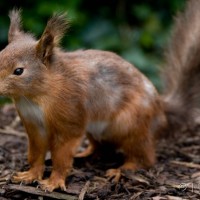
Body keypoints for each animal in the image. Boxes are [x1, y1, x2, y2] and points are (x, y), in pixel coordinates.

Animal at [0, 0, 198, 191]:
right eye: (0, 55)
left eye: (19, 71)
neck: (34, 98)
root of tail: (161, 110)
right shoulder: (33, 126)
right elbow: (36, 154)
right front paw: (30, 175)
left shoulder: (70, 120)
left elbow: (62, 155)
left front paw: (53, 182)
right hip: (96, 131)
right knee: (102, 148)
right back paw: (84, 156)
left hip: (132, 126)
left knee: (144, 158)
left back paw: (121, 170)